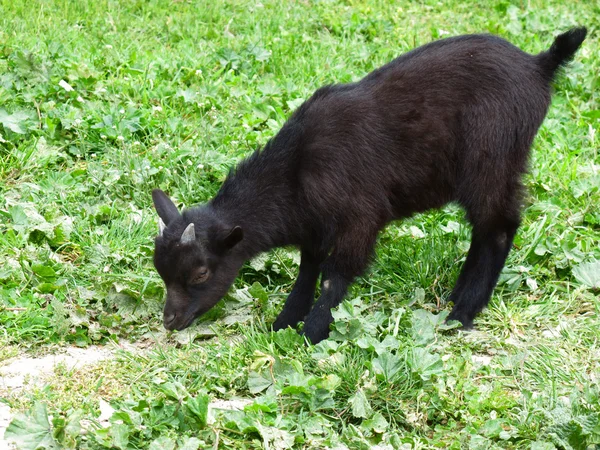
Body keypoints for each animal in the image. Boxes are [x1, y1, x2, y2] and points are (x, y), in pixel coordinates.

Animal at [150, 28, 584, 342]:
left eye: (201, 274)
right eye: (161, 272)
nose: (170, 321)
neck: (296, 168)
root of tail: (539, 65)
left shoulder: (359, 218)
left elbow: (335, 274)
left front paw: (311, 334)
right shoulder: (314, 226)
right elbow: (308, 269)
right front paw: (284, 323)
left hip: (492, 160)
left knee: (498, 228)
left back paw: (462, 314)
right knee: (486, 229)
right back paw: (457, 300)